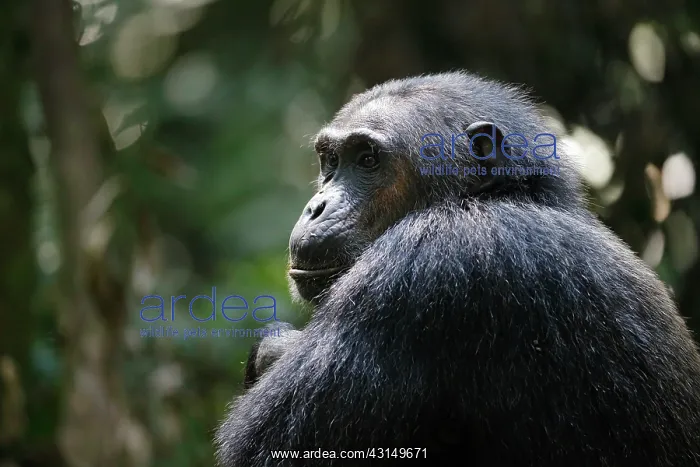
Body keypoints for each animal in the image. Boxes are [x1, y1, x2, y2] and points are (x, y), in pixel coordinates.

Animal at [215, 71, 700, 466]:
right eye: (330, 161)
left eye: (367, 159)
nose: (316, 206)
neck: (498, 198)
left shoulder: (420, 266)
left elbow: (258, 450)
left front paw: (276, 348)